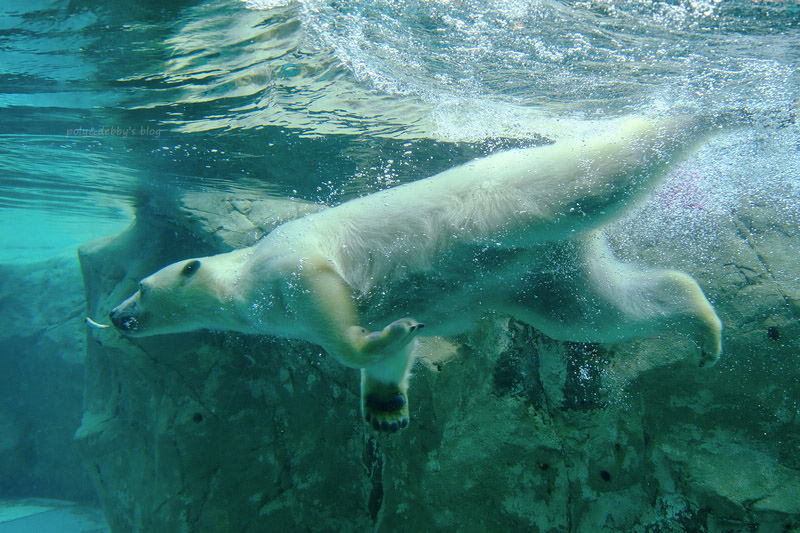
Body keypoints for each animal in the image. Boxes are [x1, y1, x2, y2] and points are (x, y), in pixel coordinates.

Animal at [111, 115, 724, 432]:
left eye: (139, 287)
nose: (115, 316)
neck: (240, 281)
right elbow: (389, 354)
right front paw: (387, 405)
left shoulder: (284, 261)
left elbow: (326, 297)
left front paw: (375, 344)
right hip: (542, 273)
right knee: (595, 310)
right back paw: (704, 329)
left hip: (502, 197)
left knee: (591, 175)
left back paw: (702, 115)